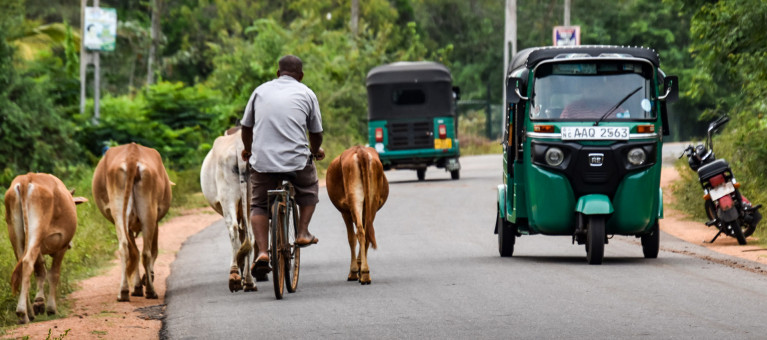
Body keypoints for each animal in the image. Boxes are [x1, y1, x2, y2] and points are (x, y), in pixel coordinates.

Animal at [4, 174, 88, 322]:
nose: (71, 245)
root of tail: (27, 178)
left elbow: (40, 271)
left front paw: (39, 302)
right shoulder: (61, 246)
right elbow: (53, 274)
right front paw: (51, 308)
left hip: (16, 235)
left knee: (22, 265)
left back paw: (29, 312)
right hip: (37, 231)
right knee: (27, 262)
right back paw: (22, 312)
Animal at [92, 142, 172, 302]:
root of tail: (132, 156)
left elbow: (134, 251)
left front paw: (137, 286)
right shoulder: (156, 222)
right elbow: (152, 251)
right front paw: (142, 283)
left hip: (119, 212)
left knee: (124, 248)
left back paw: (123, 292)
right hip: (149, 213)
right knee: (146, 252)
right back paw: (150, 291)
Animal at [200, 127, 260, 292]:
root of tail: (240, 147)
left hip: (228, 198)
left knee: (233, 229)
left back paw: (234, 276)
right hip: (251, 199)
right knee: (250, 235)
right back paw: (249, 281)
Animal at [328, 145, 390, 284]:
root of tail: (360, 150)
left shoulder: (345, 212)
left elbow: (351, 238)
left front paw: (354, 271)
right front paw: (360, 267)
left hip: (354, 198)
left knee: (360, 232)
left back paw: (362, 273)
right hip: (371, 201)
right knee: (366, 232)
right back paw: (366, 273)